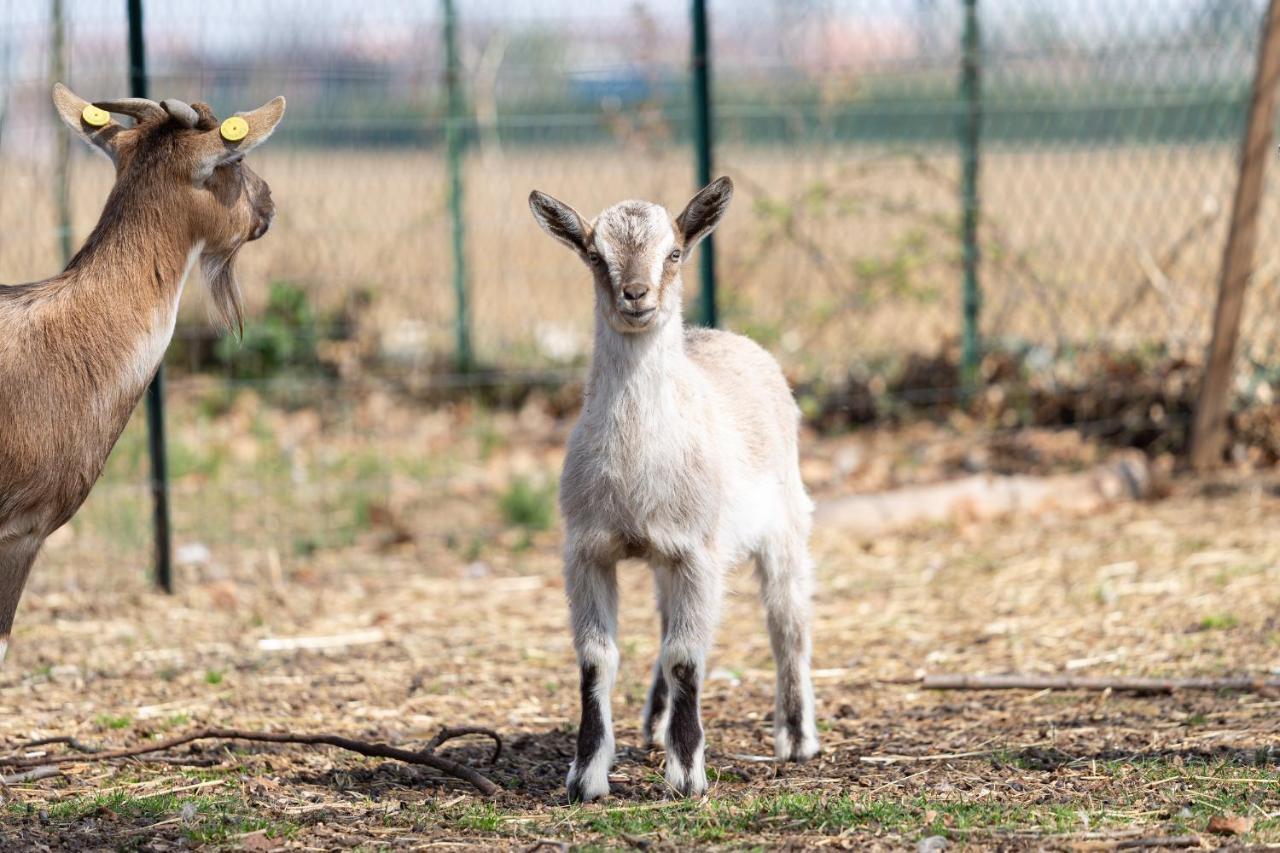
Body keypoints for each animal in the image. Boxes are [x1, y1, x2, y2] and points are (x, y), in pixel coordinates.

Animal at [529, 178, 819, 799]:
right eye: (594, 255)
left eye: (675, 253)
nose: (636, 295)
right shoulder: (588, 551)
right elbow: (596, 660)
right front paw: (585, 778)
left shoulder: (698, 553)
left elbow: (687, 657)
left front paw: (686, 776)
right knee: (667, 626)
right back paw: (656, 725)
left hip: (786, 523)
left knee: (787, 621)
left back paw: (797, 737)